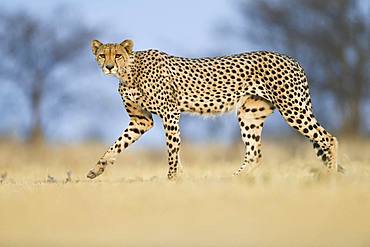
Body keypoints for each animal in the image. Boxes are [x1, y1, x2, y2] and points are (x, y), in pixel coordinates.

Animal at [86, 39, 342, 180]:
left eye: (118, 55)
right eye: (102, 55)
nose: (109, 66)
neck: (129, 73)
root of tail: (291, 58)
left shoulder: (170, 113)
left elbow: (172, 150)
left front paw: (172, 179)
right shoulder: (141, 120)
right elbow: (117, 144)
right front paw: (97, 168)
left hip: (293, 108)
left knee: (328, 138)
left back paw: (329, 176)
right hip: (249, 113)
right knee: (254, 154)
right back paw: (232, 180)